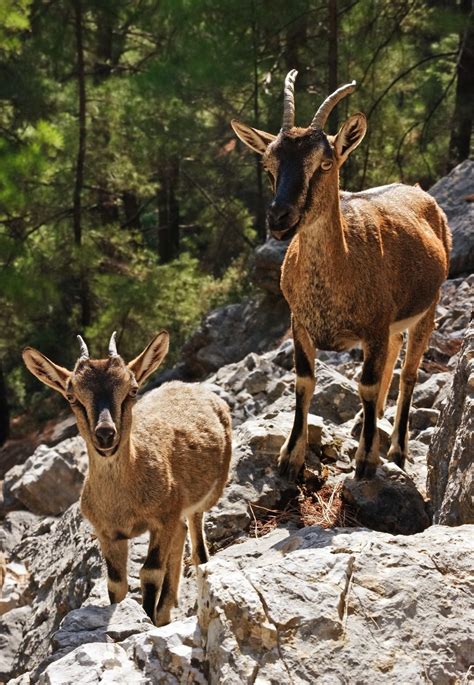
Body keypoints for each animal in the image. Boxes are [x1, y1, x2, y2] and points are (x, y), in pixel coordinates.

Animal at [23, 332, 232, 624]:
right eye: (71, 395)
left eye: (132, 389)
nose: (105, 434)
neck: (123, 501)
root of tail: (193, 388)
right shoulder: (108, 534)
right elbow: (116, 583)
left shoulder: (161, 520)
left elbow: (150, 572)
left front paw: (148, 619)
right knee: (180, 534)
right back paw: (165, 610)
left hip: (204, 497)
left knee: (194, 534)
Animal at [231, 72, 450, 480]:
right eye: (269, 166)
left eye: (325, 162)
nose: (279, 216)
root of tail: (419, 191)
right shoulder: (299, 322)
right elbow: (304, 381)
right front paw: (290, 457)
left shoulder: (375, 325)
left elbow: (366, 384)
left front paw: (365, 461)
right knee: (394, 353)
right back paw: (370, 421)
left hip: (427, 307)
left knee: (409, 371)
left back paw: (396, 448)